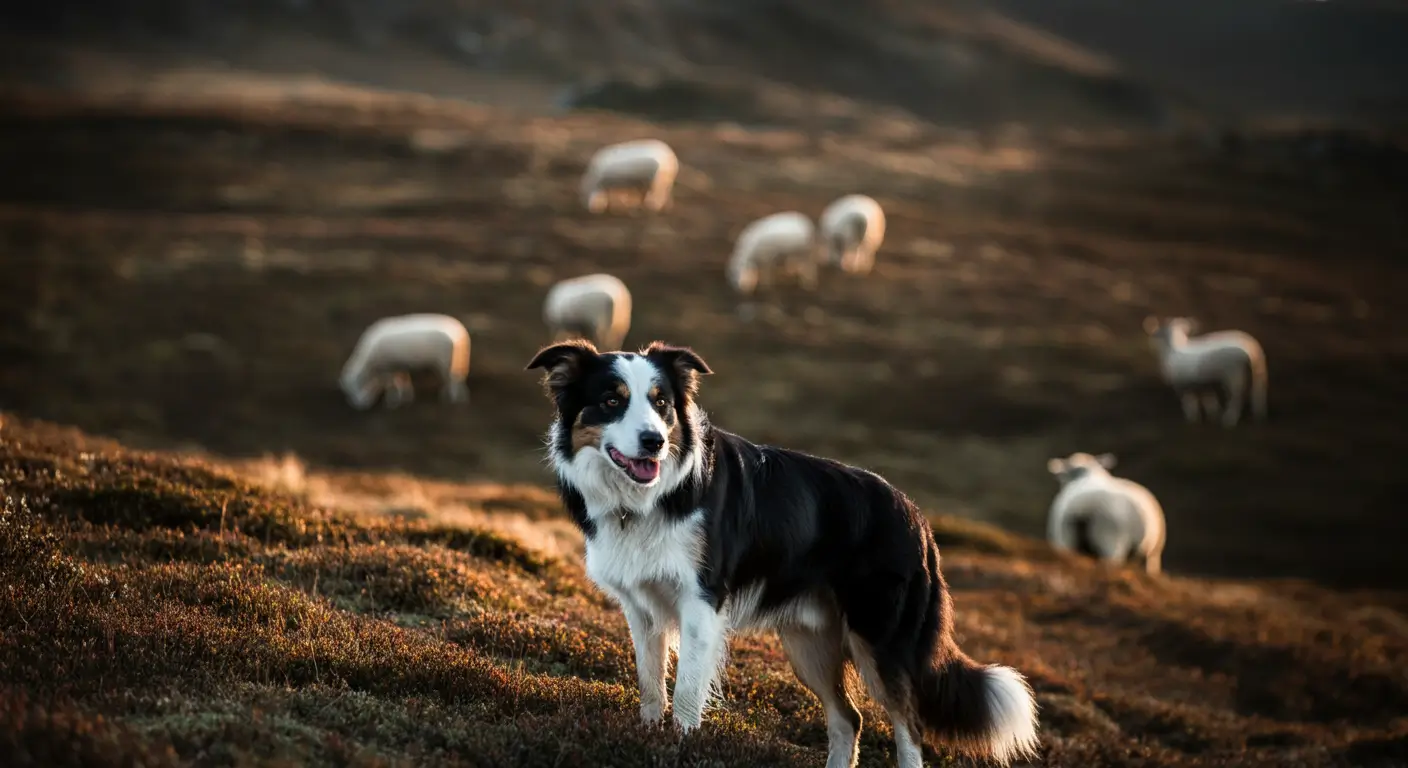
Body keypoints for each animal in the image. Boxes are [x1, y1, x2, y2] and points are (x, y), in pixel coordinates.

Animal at [337, 312, 470, 411]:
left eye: (357, 385)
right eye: (348, 392)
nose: (359, 406)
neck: (370, 366)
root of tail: (460, 332)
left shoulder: (387, 368)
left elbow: (392, 384)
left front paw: (391, 401)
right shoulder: (399, 365)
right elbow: (403, 380)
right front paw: (405, 398)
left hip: (444, 360)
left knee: (451, 379)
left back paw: (450, 399)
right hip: (458, 359)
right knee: (457, 377)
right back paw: (460, 397)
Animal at [523, 338, 1041, 760]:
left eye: (662, 403)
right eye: (611, 401)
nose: (654, 441)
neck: (649, 500)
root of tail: (918, 518)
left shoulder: (701, 603)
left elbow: (687, 692)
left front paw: (681, 747)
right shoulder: (643, 608)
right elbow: (651, 687)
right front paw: (645, 740)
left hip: (880, 639)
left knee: (909, 727)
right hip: (809, 642)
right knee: (848, 719)